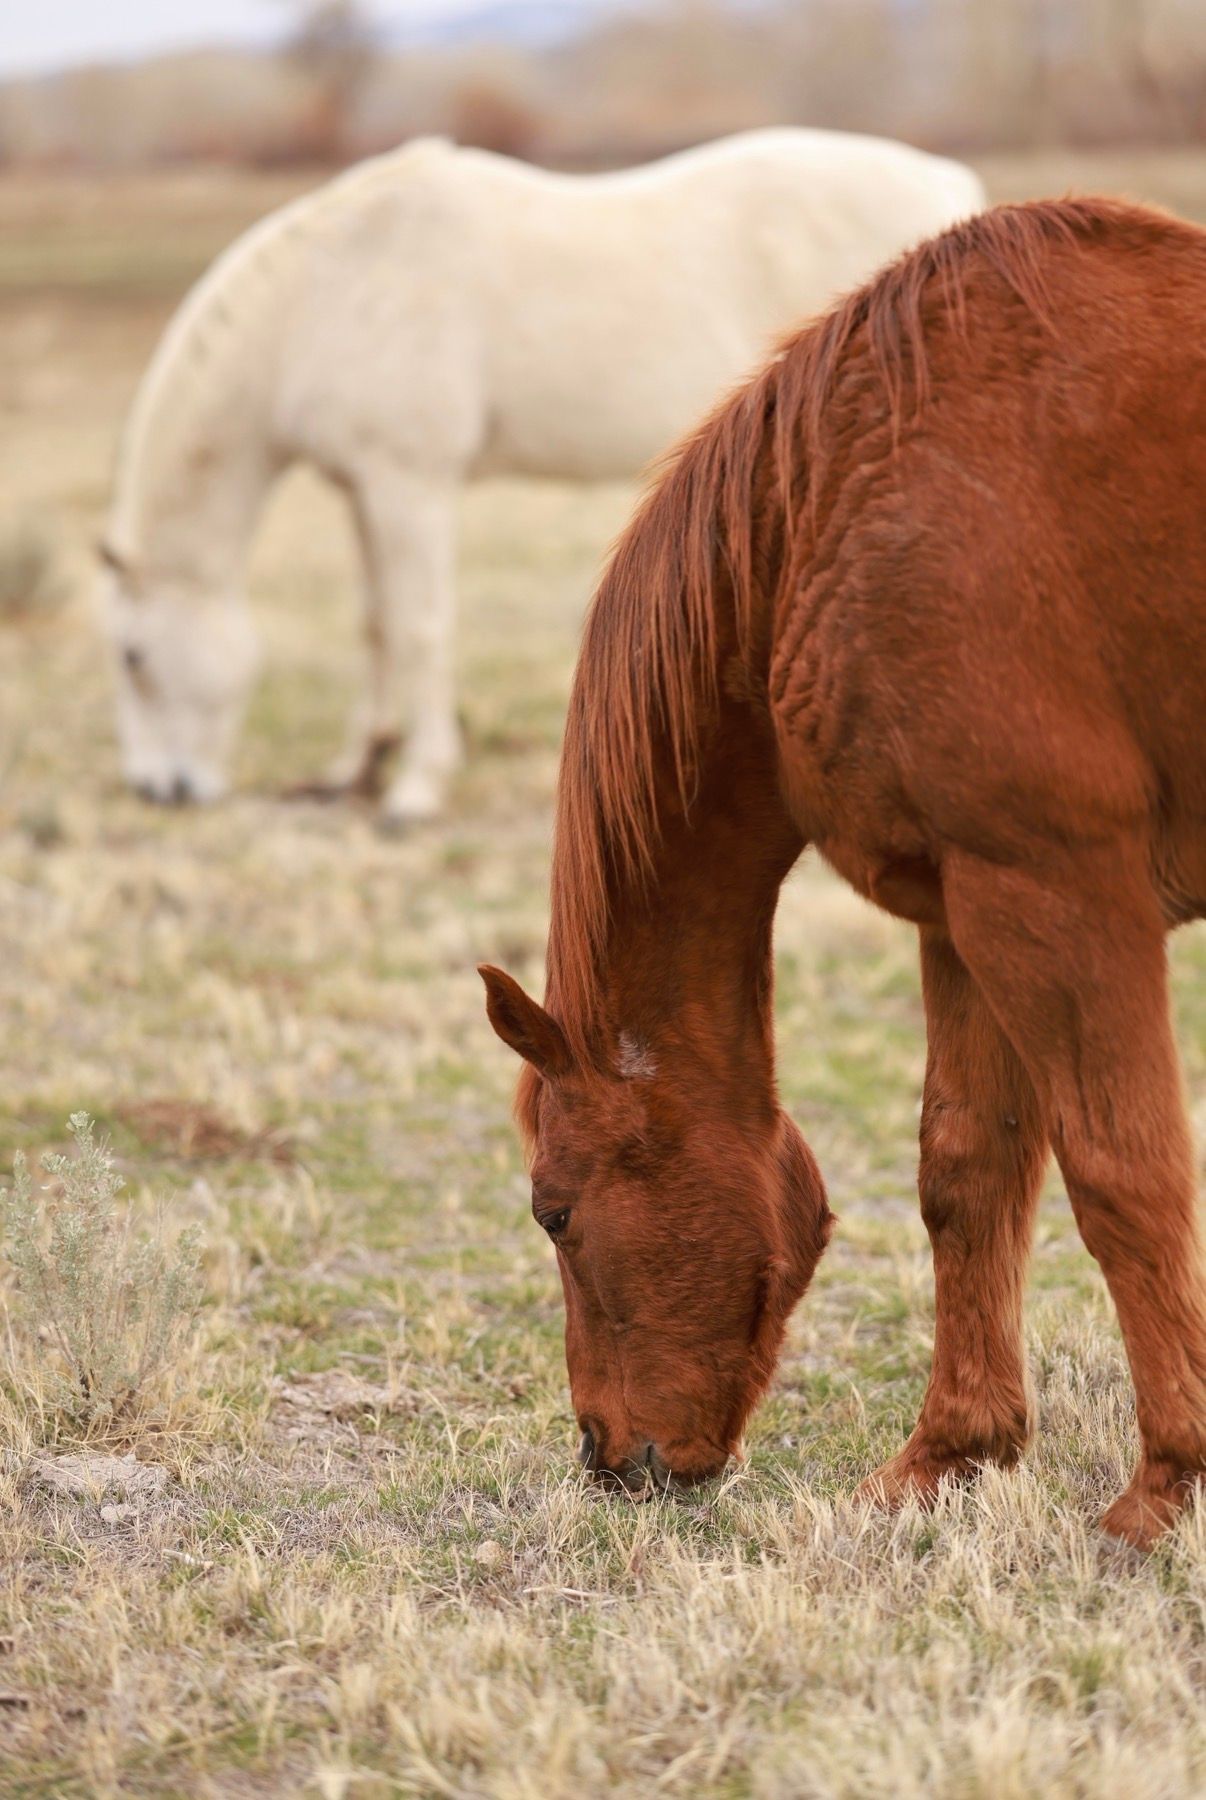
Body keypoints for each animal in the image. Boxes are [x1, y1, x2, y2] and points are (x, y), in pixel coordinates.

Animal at [98, 129, 983, 822]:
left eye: (133, 657)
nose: (155, 790)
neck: (327, 292)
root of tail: (952, 189)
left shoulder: (410, 485)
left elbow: (421, 628)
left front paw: (416, 788)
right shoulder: (364, 488)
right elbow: (377, 624)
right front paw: (357, 768)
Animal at [481, 195, 1206, 1551]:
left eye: (555, 1210)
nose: (607, 1456)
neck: (842, 509)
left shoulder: (1059, 896)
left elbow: (1123, 1174)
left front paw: (1167, 1486)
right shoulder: (963, 909)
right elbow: (967, 1168)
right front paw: (951, 1454)